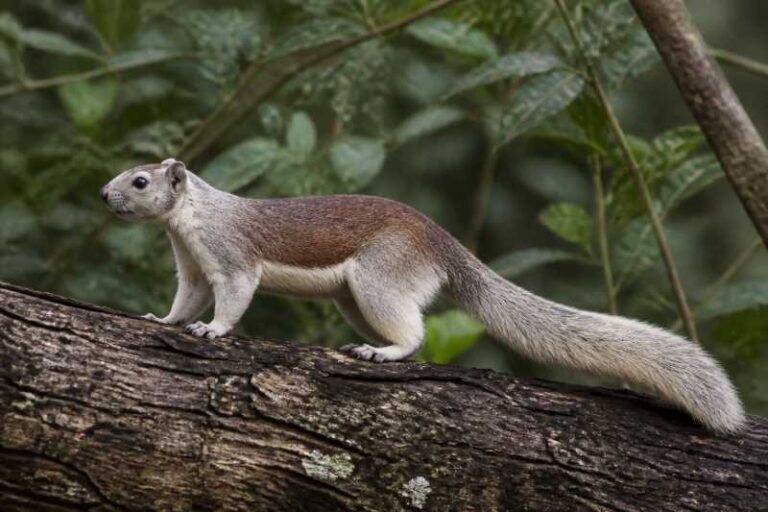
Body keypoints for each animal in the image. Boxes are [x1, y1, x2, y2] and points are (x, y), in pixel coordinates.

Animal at [100, 158, 745, 434]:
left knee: (415, 333)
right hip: (354, 299)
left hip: (379, 278)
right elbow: (185, 299)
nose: (105, 195)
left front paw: (213, 330)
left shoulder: (230, 257)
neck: (190, 219)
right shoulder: (192, 268)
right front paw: (162, 317)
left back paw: (382, 354)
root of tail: (443, 245)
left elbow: (233, 298)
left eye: (141, 180)